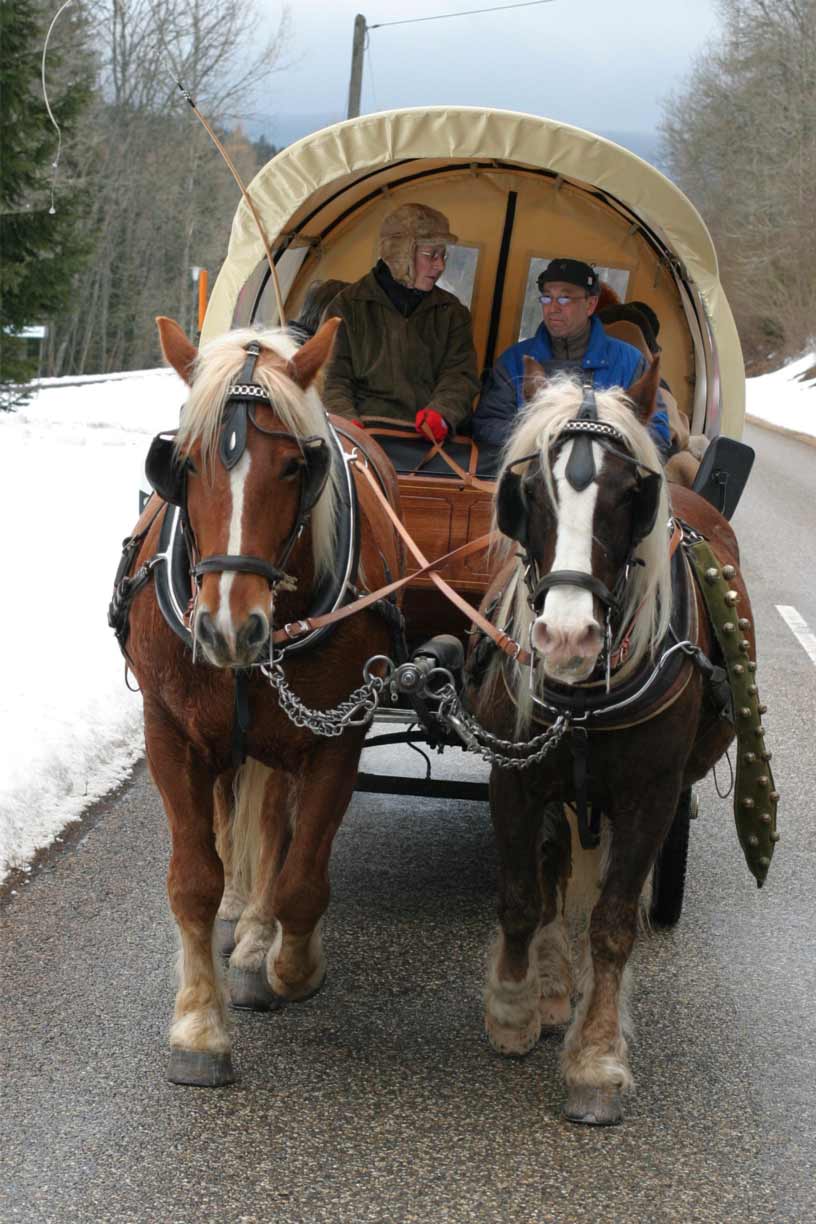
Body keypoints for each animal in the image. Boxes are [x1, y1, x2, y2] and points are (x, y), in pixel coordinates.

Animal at [115, 318, 406, 1091]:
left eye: (295, 468)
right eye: (182, 464)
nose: (228, 627)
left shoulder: (337, 736)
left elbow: (302, 877)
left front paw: (286, 966)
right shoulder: (171, 732)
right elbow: (193, 880)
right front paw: (198, 1028)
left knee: (277, 826)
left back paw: (253, 944)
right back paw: (238, 919)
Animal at [469, 352, 778, 1121]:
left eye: (628, 494)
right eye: (529, 492)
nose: (567, 637)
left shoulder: (651, 796)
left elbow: (611, 924)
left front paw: (598, 1060)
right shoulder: (514, 776)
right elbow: (521, 894)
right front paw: (515, 1009)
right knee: (553, 870)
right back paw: (552, 987)